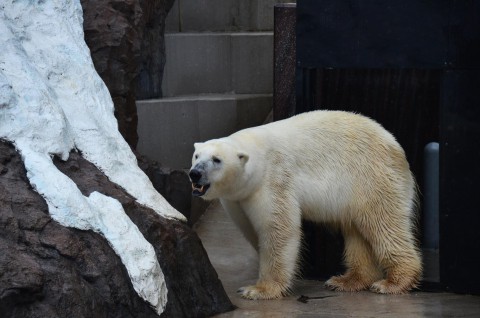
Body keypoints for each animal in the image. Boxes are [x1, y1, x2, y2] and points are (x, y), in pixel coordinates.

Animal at [188, 110, 420, 300]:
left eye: (216, 159)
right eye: (196, 156)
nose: (195, 173)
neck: (258, 154)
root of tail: (395, 145)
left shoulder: (274, 178)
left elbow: (278, 229)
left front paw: (258, 290)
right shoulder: (237, 199)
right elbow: (251, 229)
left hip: (372, 178)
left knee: (384, 225)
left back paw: (393, 282)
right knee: (357, 231)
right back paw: (347, 280)